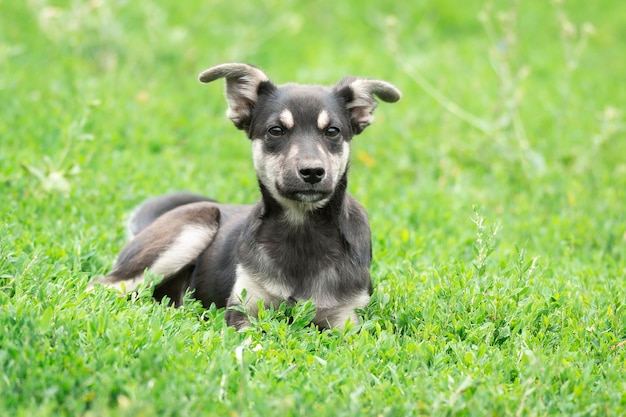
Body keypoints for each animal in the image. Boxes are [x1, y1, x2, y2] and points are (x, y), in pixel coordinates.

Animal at [89, 63, 400, 328]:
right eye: (276, 130)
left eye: (333, 131)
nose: (312, 172)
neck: (301, 232)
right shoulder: (244, 309)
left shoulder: (347, 320)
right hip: (189, 230)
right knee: (101, 285)